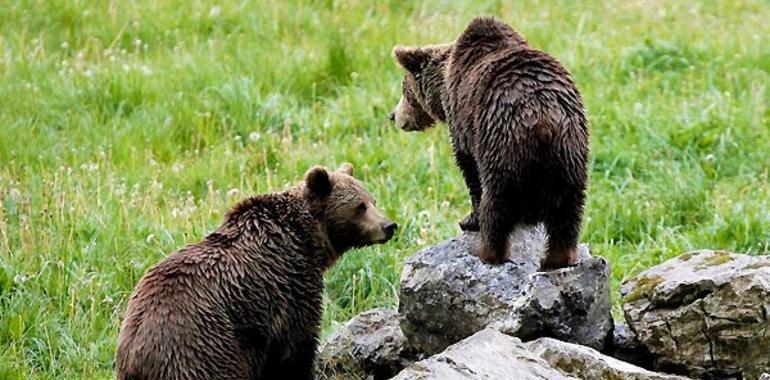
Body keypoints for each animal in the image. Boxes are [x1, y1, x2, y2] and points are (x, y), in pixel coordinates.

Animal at [117, 164, 400, 380]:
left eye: (373, 200)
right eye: (360, 206)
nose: (389, 225)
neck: (306, 238)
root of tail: (138, 350)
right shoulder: (291, 286)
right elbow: (296, 346)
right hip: (202, 348)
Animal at [390, 16, 588, 268]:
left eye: (405, 91)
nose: (393, 116)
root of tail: (543, 118)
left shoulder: (464, 124)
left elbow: (469, 170)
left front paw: (468, 220)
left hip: (500, 140)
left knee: (497, 199)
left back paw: (489, 251)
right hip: (570, 148)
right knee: (569, 206)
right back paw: (559, 257)